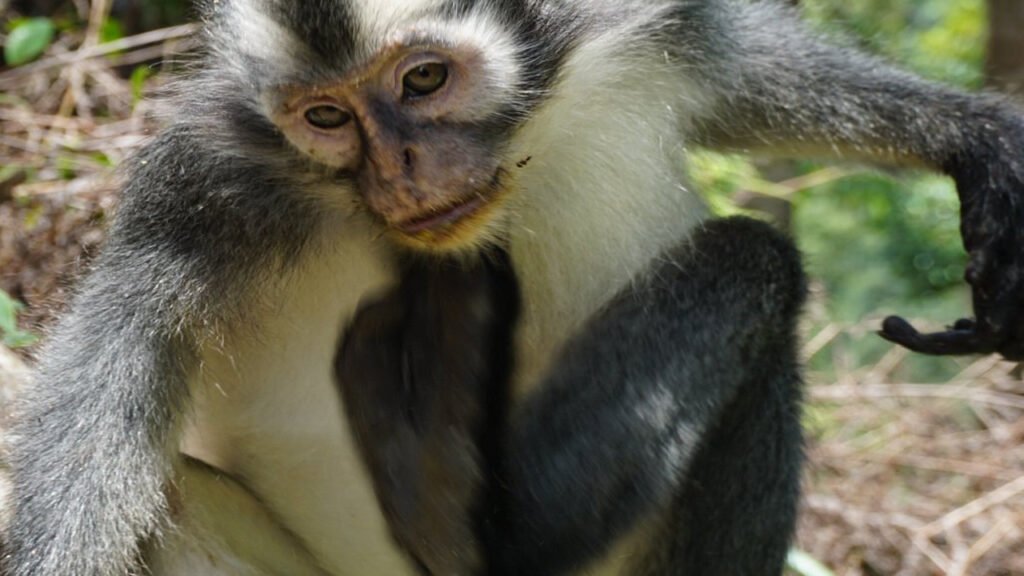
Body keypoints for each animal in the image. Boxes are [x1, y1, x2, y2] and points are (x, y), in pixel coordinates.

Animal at [3, 0, 1024, 575]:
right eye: (328, 117)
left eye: (424, 79)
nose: (404, 169)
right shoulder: (208, 185)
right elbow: (121, 359)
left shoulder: (634, 29)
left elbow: (742, 76)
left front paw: (974, 139)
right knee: (755, 264)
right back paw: (477, 516)